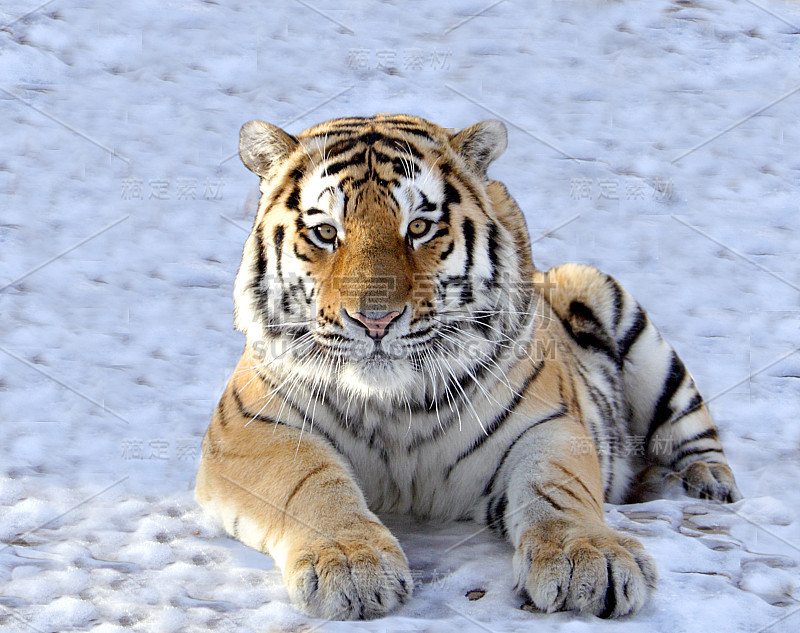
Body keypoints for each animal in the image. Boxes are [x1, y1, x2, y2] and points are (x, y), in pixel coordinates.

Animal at [192, 112, 736, 616]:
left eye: (418, 227)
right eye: (326, 232)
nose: (375, 320)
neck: (392, 403)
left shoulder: (550, 424)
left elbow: (559, 488)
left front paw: (589, 557)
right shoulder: (250, 430)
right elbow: (311, 487)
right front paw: (351, 565)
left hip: (611, 306)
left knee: (694, 438)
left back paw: (700, 486)